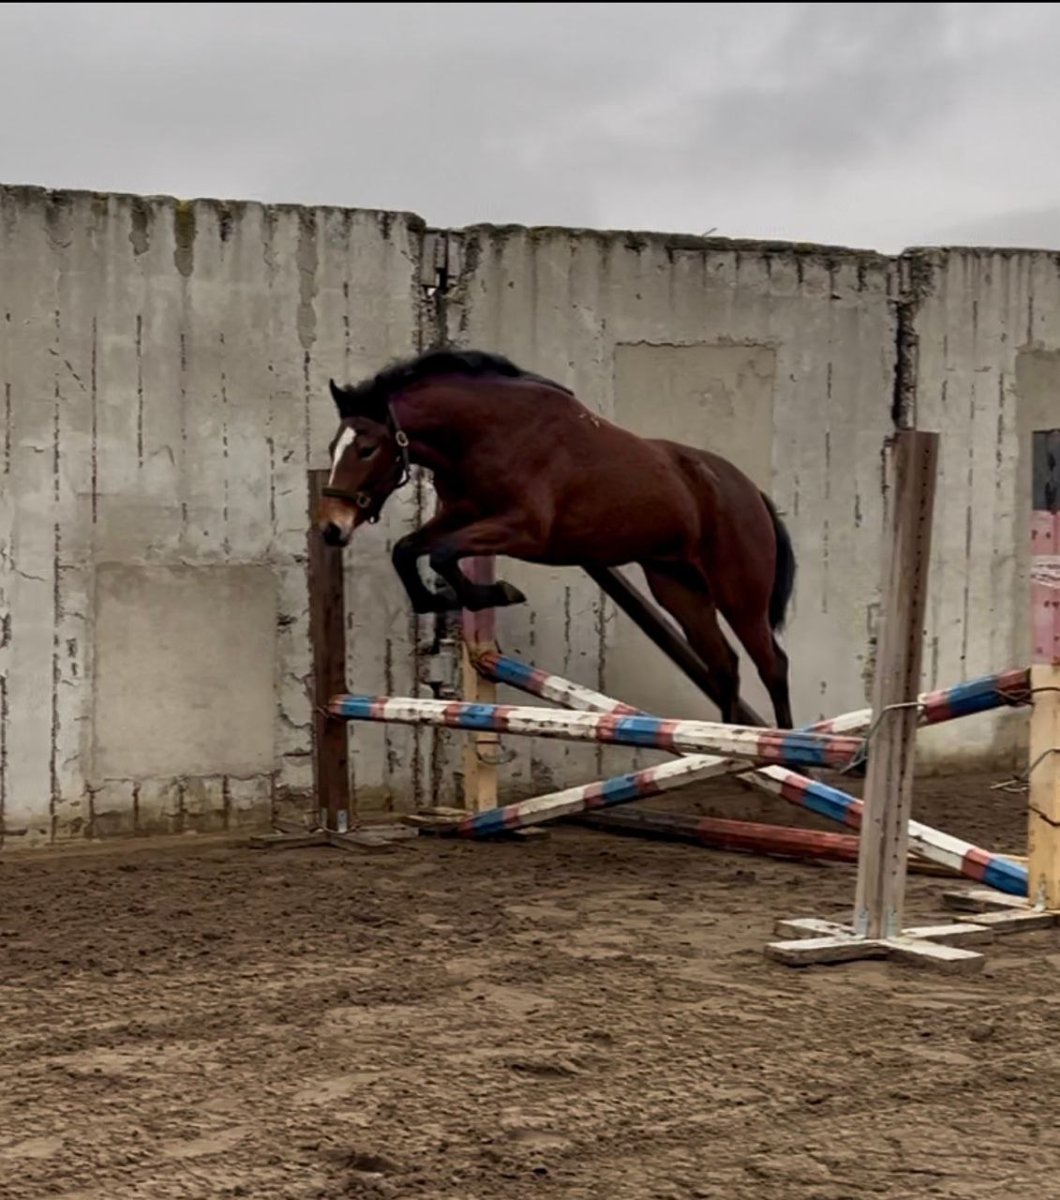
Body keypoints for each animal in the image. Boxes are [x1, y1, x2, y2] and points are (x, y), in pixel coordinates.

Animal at [316, 348, 796, 730]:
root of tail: (752, 493)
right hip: (679, 588)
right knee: (725, 665)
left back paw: (791, 753)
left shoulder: (524, 530)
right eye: (332, 448)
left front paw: (497, 592)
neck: (489, 432)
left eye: (367, 449)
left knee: (772, 664)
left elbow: (441, 556)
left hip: (739, 594)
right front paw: (451, 599)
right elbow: (409, 551)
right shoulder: (460, 514)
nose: (332, 528)